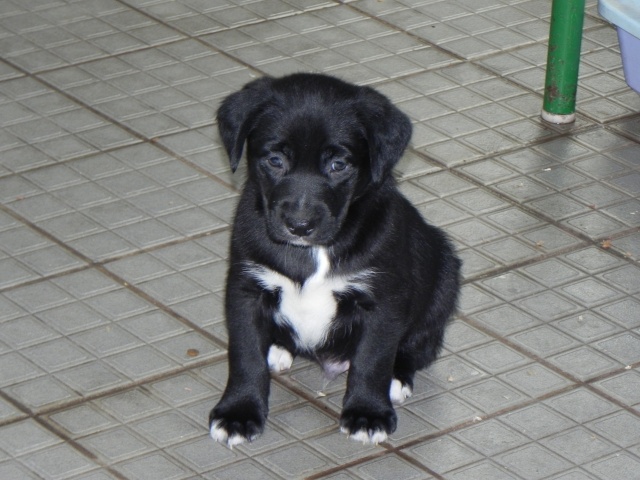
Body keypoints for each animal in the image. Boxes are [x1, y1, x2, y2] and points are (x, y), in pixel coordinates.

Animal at [210, 72, 460, 446]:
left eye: (337, 165)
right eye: (275, 160)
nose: (299, 226)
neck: (312, 252)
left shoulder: (382, 301)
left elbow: (372, 359)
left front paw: (368, 412)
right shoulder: (245, 288)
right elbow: (244, 355)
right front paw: (238, 412)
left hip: (444, 272)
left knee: (421, 344)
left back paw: (398, 376)